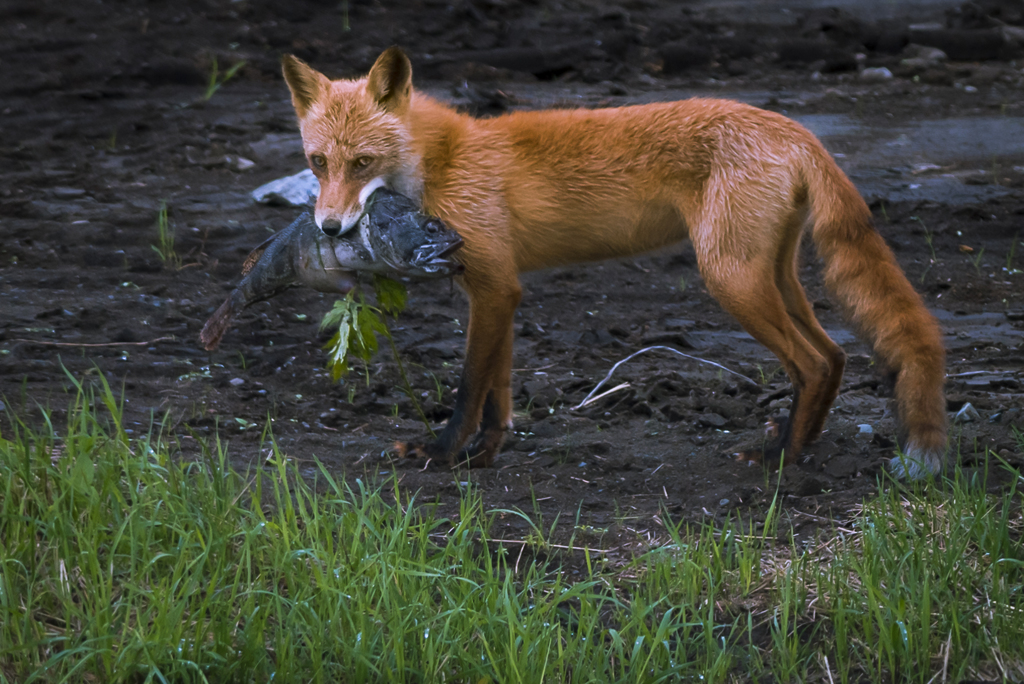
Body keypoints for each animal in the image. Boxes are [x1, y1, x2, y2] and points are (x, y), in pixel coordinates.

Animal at [284, 48, 946, 479]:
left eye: (363, 163)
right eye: (318, 163)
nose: (329, 228)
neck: (445, 159)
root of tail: (794, 128)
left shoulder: (495, 285)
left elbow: (472, 384)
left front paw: (444, 456)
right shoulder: (497, 289)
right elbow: (499, 393)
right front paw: (484, 456)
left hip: (729, 279)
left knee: (809, 363)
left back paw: (777, 460)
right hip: (771, 274)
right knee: (833, 357)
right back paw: (798, 445)